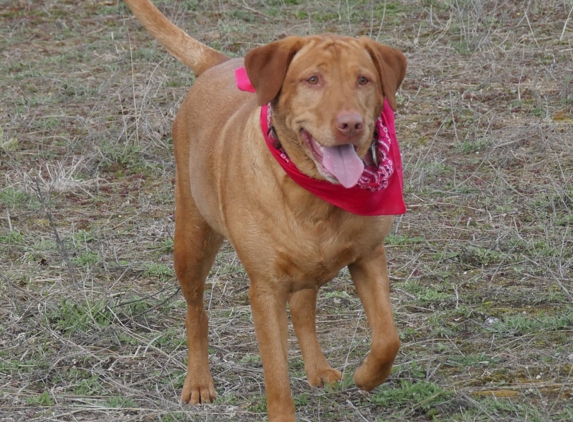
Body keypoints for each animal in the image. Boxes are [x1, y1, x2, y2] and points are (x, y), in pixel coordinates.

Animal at [123, 1, 404, 420]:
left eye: (364, 80)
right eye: (312, 79)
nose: (351, 124)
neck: (314, 195)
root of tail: (220, 62)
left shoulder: (369, 256)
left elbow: (387, 338)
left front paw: (367, 376)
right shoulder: (265, 290)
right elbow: (276, 375)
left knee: (303, 305)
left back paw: (318, 368)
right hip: (191, 242)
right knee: (195, 311)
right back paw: (198, 381)